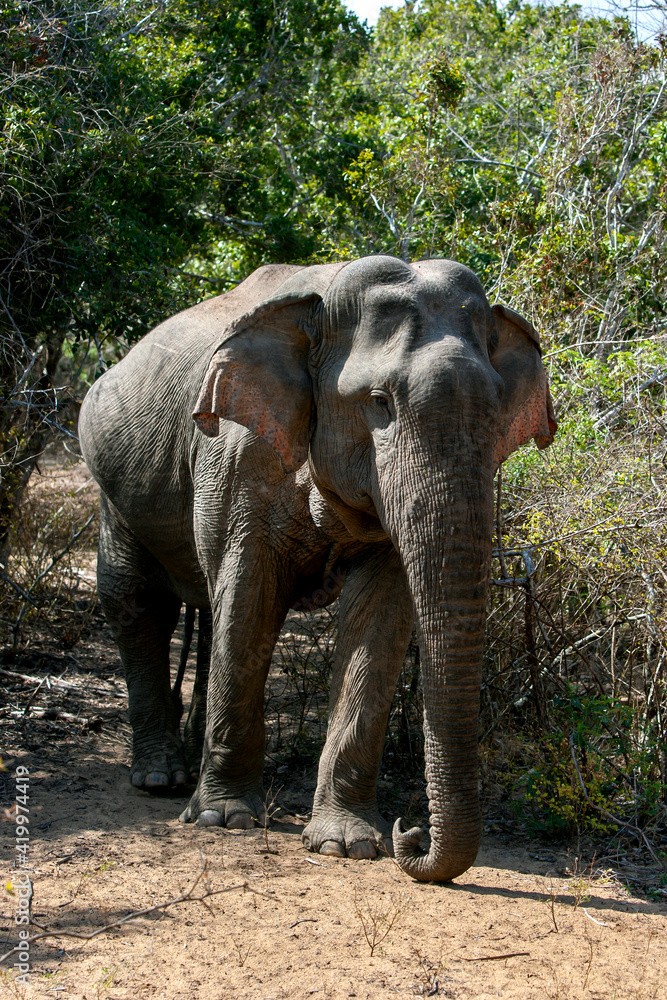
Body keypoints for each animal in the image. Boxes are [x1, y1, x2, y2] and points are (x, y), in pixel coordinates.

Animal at [78, 255, 556, 882]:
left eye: (499, 412)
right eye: (379, 401)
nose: (411, 831)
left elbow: (381, 616)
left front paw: (348, 844)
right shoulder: (239, 454)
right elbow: (247, 597)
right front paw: (224, 819)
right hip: (112, 483)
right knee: (136, 601)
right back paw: (161, 779)